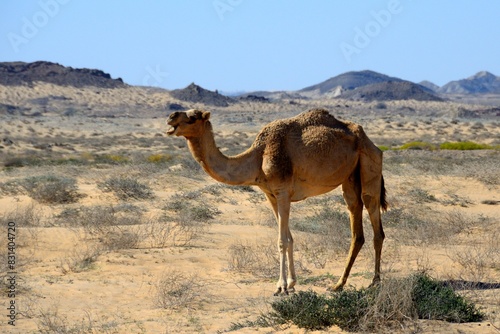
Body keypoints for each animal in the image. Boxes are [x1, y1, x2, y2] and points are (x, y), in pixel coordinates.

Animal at [167, 108, 386, 294]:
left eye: (193, 117)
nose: (171, 117)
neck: (259, 156)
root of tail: (371, 142)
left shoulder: (282, 192)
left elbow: (282, 240)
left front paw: (280, 287)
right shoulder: (270, 195)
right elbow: (289, 238)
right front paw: (292, 282)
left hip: (369, 163)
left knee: (374, 218)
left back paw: (374, 282)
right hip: (349, 177)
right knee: (356, 223)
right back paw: (338, 284)